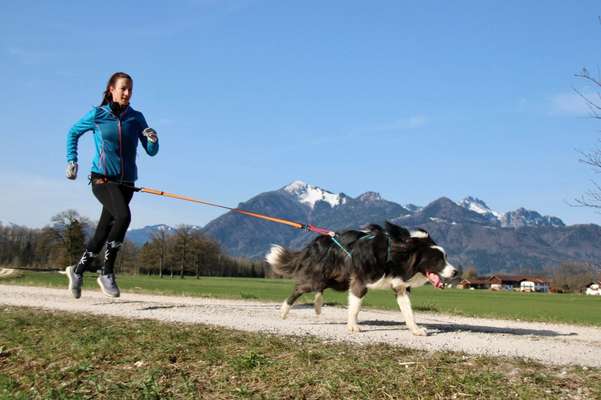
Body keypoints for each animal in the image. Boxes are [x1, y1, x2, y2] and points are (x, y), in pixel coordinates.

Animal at [264, 220, 458, 336]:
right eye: (438, 260)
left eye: (446, 257)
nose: (456, 272)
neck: (395, 255)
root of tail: (316, 242)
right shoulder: (360, 281)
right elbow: (355, 306)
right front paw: (353, 326)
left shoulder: (400, 286)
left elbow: (408, 311)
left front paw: (416, 330)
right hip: (321, 276)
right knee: (300, 287)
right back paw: (284, 310)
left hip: (337, 279)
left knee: (319, 289)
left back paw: (318, 307)